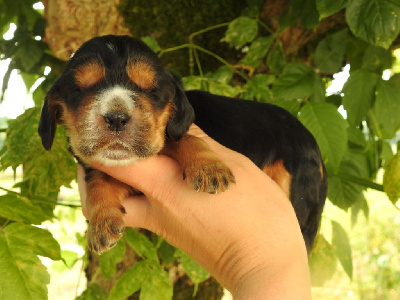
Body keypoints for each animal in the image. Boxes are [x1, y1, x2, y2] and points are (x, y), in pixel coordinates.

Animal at [37, 35, 326, 255]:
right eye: (80, 89)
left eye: (151, 90)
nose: (116, 118)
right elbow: (98, 183)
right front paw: (101, 224)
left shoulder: (175, 132)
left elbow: (184, 137)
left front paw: (209, 169)